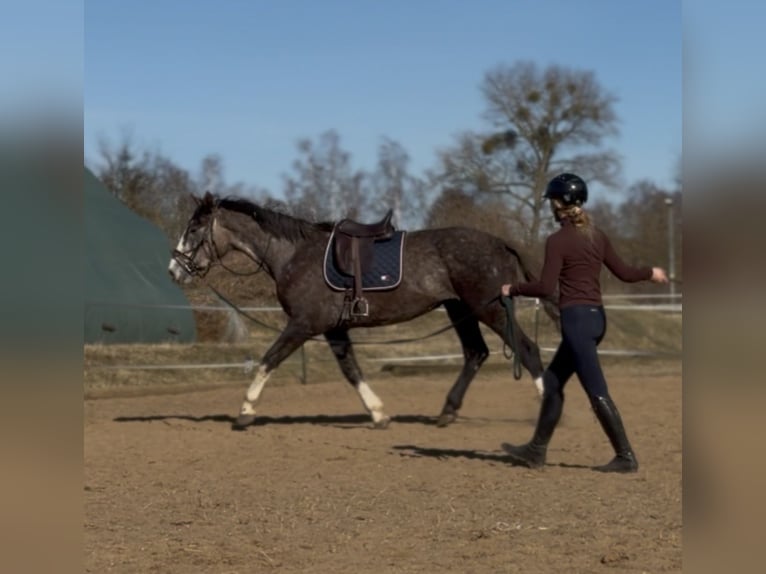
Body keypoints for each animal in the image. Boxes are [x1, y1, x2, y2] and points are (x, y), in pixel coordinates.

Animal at [168, 192, 558, 430]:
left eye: (194, 228)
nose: (174, 269)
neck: (293, 255)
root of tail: (501, 243)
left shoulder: (303, 324)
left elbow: (268, 360)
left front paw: (245, 411)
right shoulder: (332, 329)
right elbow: (351, 370)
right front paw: (379, 413)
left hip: (488, 309)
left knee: (527, 349)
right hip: (460, 309)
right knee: (475, 353)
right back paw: (446, 412)